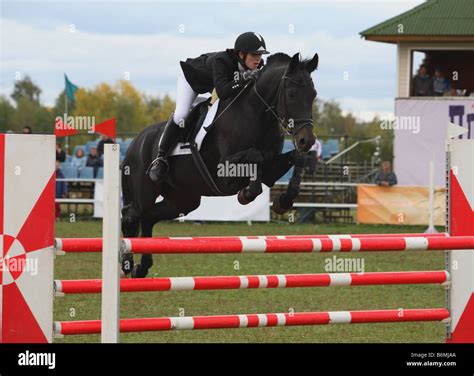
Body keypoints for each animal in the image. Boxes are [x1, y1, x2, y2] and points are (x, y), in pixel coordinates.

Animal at [121, 51, 318, 278]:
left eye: (313, 94)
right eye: (292, 94)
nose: (307, 141)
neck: (256, 114)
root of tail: (135, 142)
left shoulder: (271, 168)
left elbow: (295, 159)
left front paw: (284, 201)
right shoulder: (224, 171)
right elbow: (255, 156)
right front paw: (246, 194)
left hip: (184, 200)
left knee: (148, 218)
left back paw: (142, 267)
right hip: (144, 192)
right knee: (130, 216)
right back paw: (126, 264)